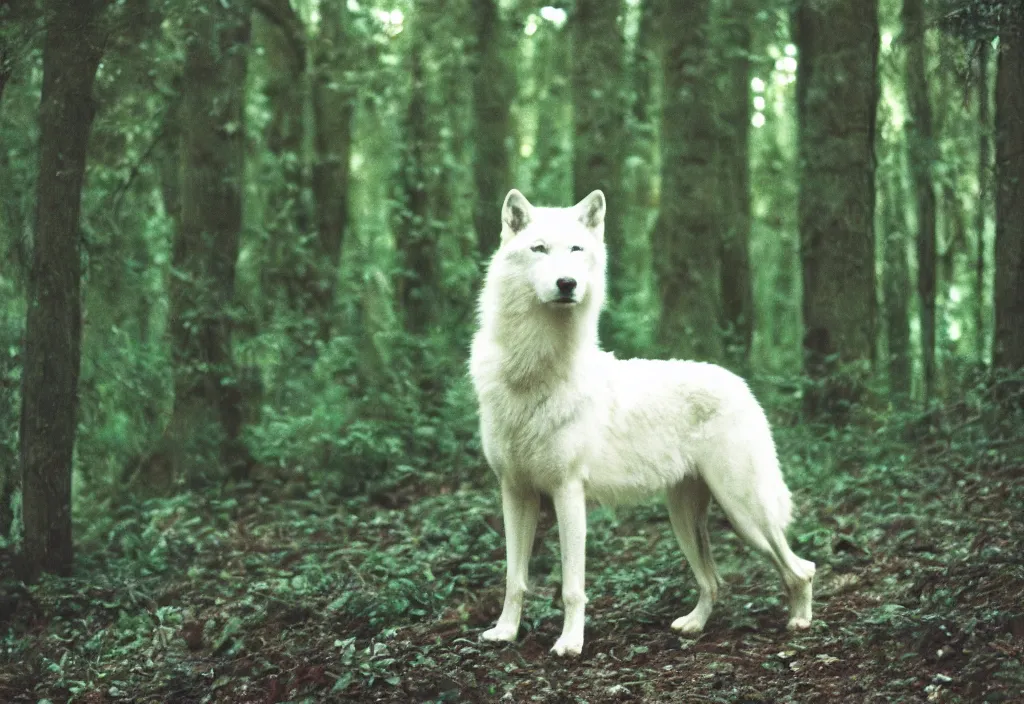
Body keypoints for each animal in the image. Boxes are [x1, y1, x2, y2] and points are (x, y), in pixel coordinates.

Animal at [468, 187, 815, 654]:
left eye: (576, 250)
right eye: (538, 249)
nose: (567, 284)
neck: (532, 371)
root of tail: (740, 384)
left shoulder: (567, 492)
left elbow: (571, 587)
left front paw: (570, 643)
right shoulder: (514, 491)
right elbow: (513, 578)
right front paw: (505, 632)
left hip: (744, 515)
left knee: (801, 567)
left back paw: (800, 620)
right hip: (685, 518)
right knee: (715, 581)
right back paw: (693, 625)